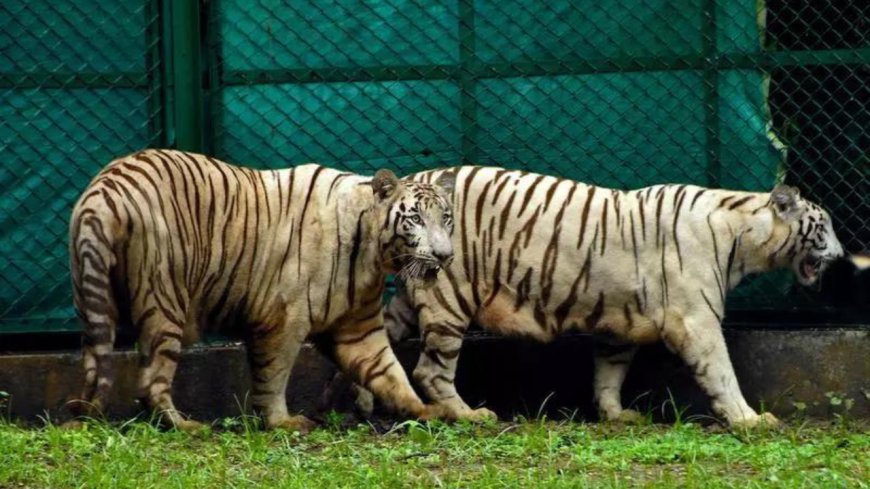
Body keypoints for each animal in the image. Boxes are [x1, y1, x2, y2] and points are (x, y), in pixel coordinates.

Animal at [68, 149, 456, 431]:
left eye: (447, 218)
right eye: (416, 219)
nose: (445, 255)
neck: (372, 252)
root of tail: (106, 188)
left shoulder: (359, 328)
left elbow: (390, 372)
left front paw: (426, 410)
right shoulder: (285, 318)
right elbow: (275, 373)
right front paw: (282, 422)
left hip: (92, 296)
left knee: (94, 361)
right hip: (164, 298)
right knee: (152, 377)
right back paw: (185, 426)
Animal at [354, 166, 845, 428]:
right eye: (822, 226)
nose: (841, 256)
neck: (743, 236)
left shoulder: (622, 317)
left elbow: (610, 371)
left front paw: (616, 414)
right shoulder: (697, 320)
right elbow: (722, 372)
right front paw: (749, 419)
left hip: (412, 298)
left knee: (375, 345)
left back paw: (364, 402)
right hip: (447, 299)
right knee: (430, 370)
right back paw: (469, 414)